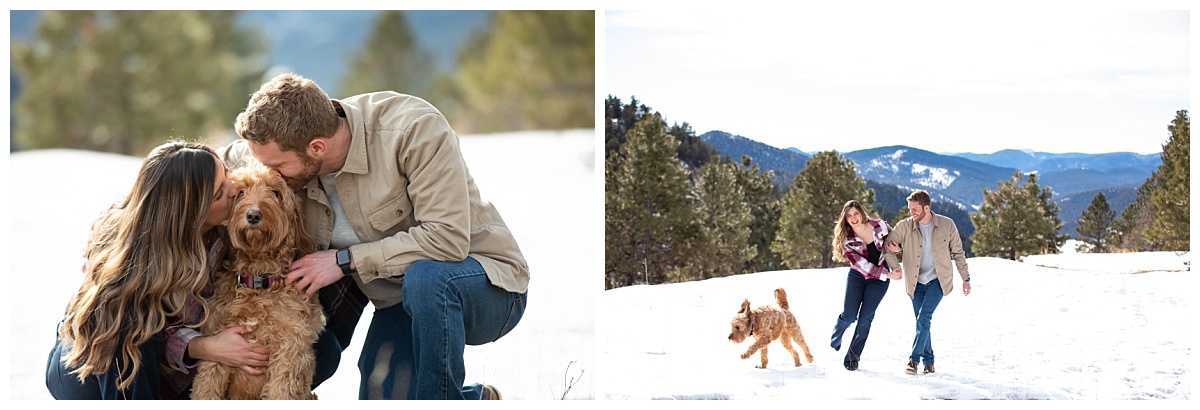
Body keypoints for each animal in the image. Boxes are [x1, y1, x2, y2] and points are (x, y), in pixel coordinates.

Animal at [192, 164, 324, 400]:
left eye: (275, 193)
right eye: (241, 192)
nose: (253, 215)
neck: (259, 280)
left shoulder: (290, 352)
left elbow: (281, 392)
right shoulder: (218, 347)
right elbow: (206, 388)